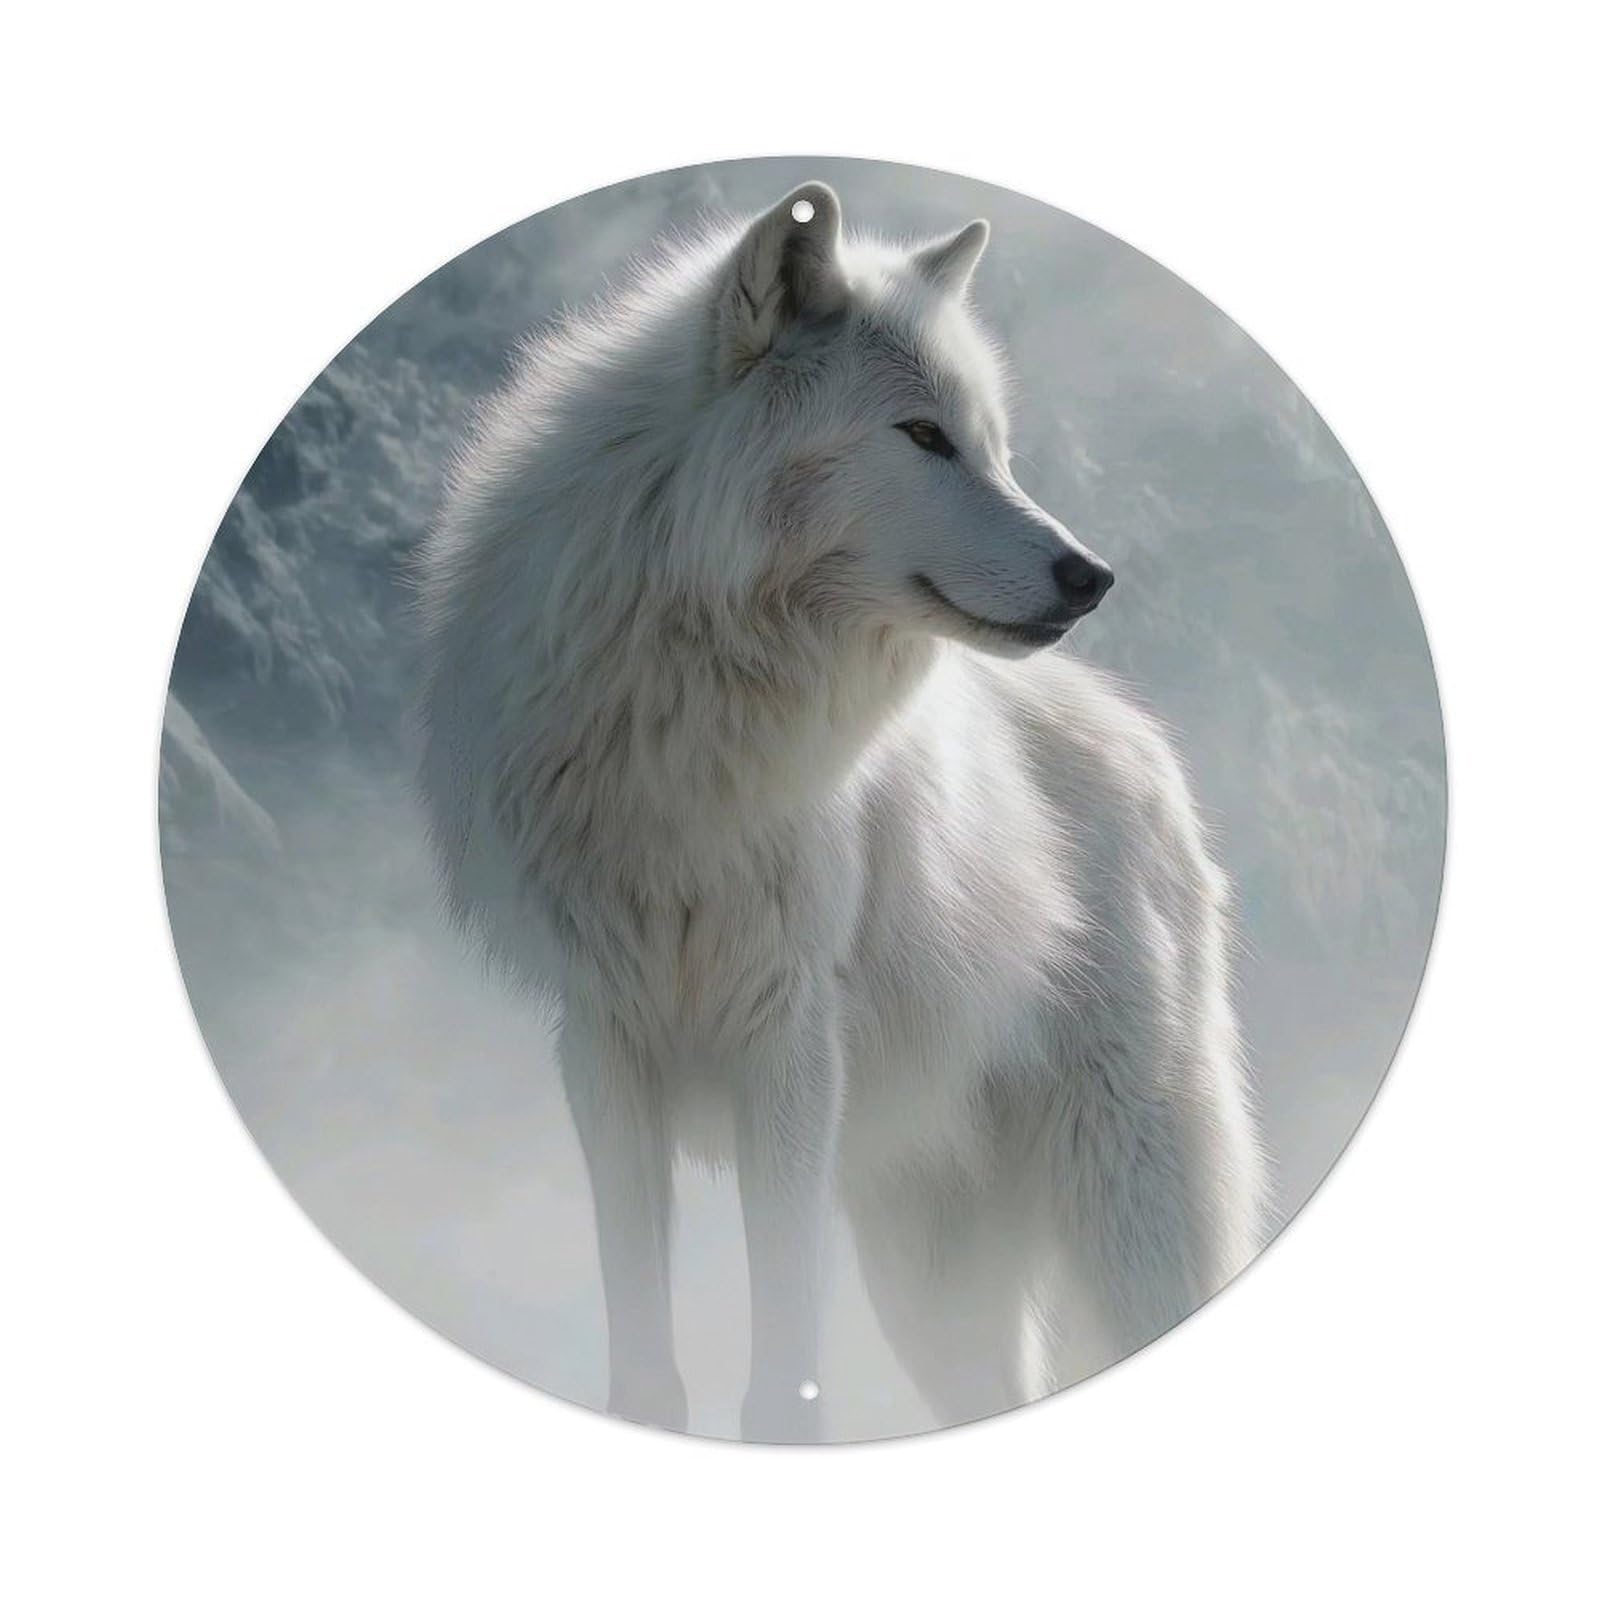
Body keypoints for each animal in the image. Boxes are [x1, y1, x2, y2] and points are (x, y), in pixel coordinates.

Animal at [416, 181, 1267, 1440]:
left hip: (1122, 1213)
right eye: (923, 436)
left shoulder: (789, 1040)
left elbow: (783, 1379)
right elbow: (646, 1366)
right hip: (926, 1273)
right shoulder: (604, 1042)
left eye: (994, 445)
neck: (689, 707)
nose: (1091, 576)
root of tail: (1147, 750)